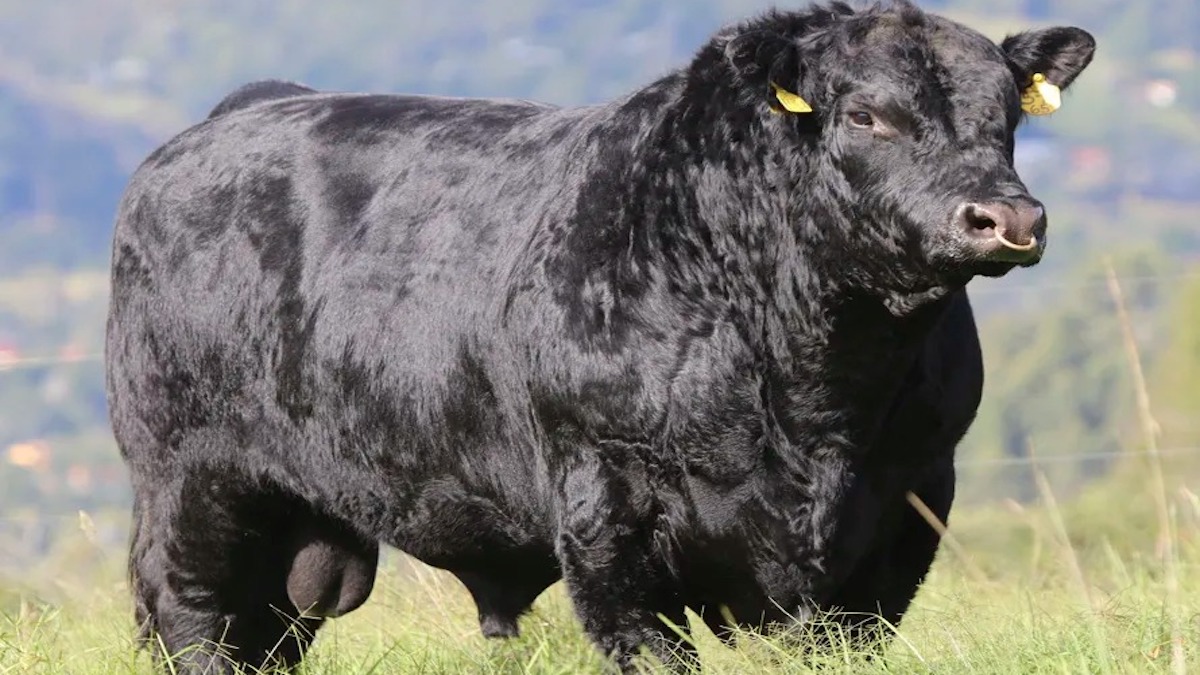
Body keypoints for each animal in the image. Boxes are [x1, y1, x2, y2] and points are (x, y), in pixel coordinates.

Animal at [108, 2, 1094, 667]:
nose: (1007, 217)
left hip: (299, 532)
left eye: (1006, 117)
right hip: (190, 480)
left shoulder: (905, 506)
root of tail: (245, 108)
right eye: (866, 115)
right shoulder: (607, 509)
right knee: (192, 619)